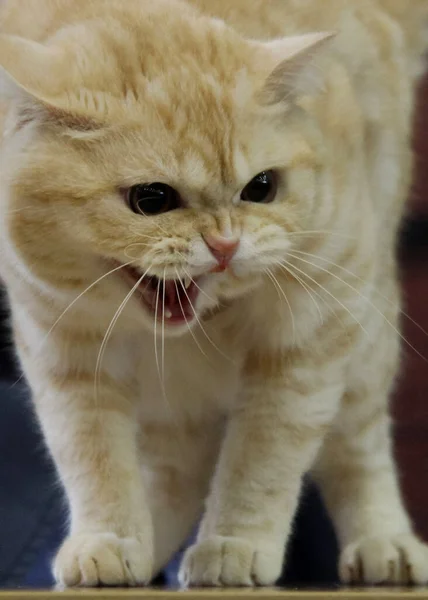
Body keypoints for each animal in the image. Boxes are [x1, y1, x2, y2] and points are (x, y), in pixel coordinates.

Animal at [0, 0, 428, 588]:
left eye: (261, 188)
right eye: (151, 199)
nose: (226, 245)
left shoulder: (306, 343)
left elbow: (261, 460)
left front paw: (232, 544)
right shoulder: (65, 354)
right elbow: (94, 458)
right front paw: (111, 539)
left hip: (365, 341)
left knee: (357, 448)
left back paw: (384, 542)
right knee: (177, 471)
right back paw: (147, 544)